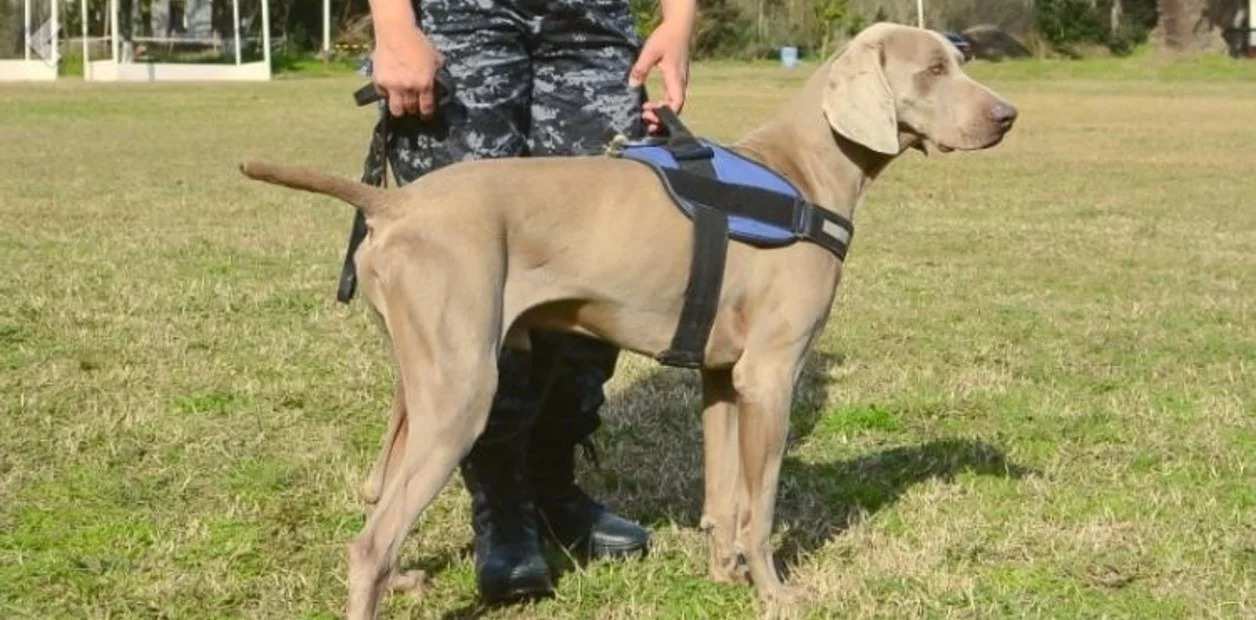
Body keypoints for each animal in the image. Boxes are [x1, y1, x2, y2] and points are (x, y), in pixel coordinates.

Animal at [239, 23, 1014, 614]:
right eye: (934, 69)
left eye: (961, 61)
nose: (1007, 115)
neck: (800, 172)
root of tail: (395, 202)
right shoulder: (771, 375)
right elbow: (761, 505)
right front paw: (775, 593)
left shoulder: (724, 377)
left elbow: (723, 495)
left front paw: (723, 573)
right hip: (463, 385)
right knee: (372, 538)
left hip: (422, 376)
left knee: (382, 495)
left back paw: (404, 576)